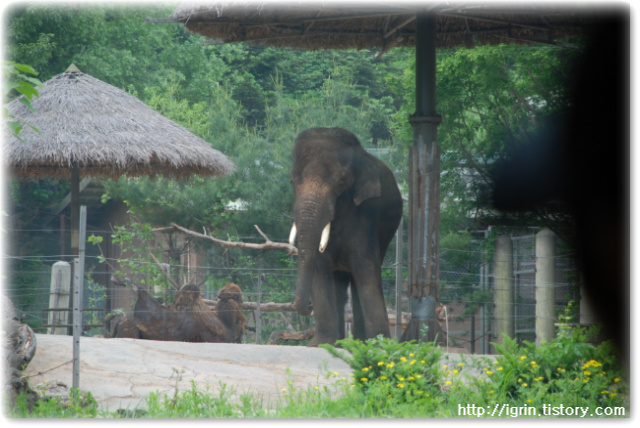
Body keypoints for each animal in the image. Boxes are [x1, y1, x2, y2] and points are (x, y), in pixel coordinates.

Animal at [288, 127, 400, 344]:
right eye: (292, 181)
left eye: (341, 183)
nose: (308, 307)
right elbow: (320, 264)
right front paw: (320, 344)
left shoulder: (367, 213)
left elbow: (364, 264)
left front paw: (379, 343)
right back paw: (340, 341)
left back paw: (359, 341)